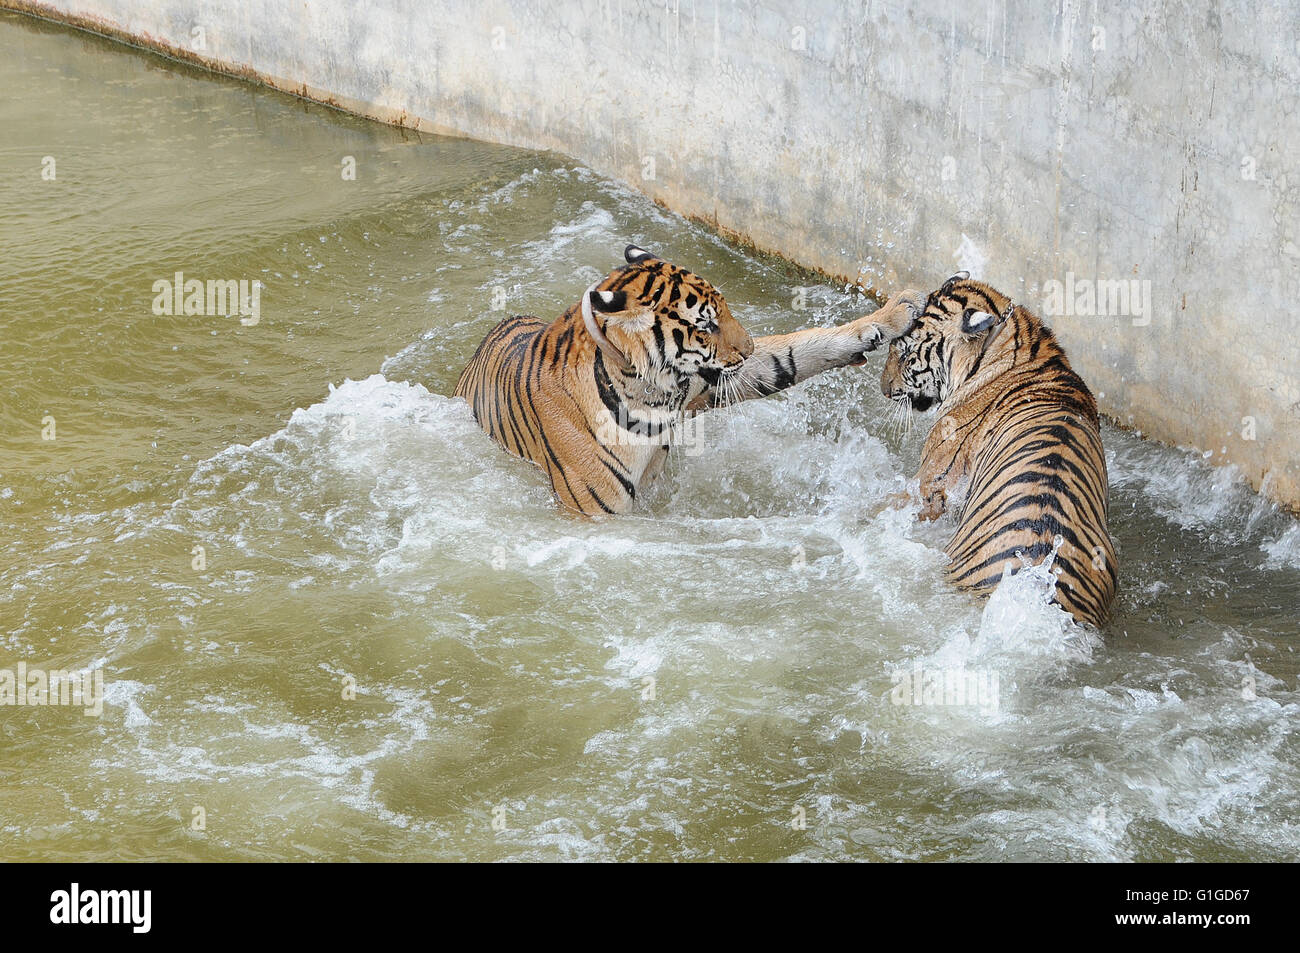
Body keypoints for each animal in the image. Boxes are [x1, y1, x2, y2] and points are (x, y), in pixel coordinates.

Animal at [457, 241, 925, 517]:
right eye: (706, 325)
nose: (747, 348)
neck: (647, 392)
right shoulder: (595, 511)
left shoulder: (708, 383)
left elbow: (796, 351)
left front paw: (898, 311)